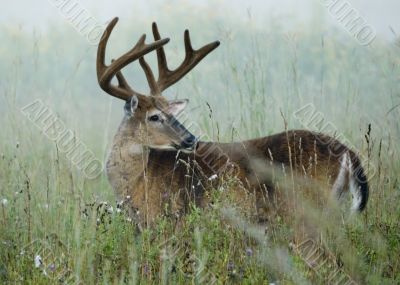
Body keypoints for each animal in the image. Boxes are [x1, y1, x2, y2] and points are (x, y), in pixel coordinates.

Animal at [97, 18, 368, 226]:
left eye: (169, 114)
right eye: (155, 116)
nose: (191, 139)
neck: (137, 180)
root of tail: (348, 153)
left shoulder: (168, 221)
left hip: (308, 208)